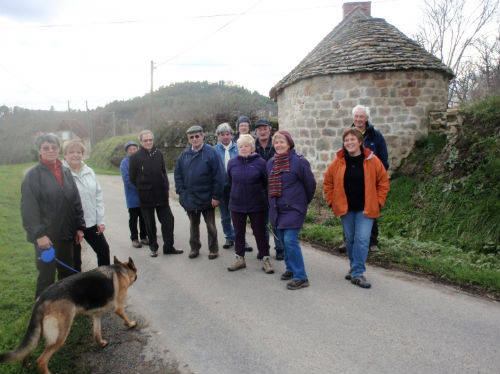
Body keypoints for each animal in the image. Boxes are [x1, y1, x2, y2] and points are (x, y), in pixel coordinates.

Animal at [0, 258, 137, 374]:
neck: (120, 270)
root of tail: (41, 300)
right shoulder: (118, 307)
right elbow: (124, 316)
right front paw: (130, 324)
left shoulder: (96, 316)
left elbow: (97, 332)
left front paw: (101, 343)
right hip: (60, 335)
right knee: (41, 361)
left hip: (39, 332)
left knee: (28, 349)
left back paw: (26, 365)